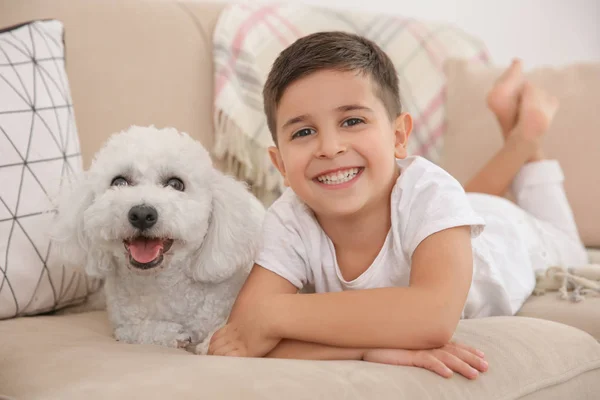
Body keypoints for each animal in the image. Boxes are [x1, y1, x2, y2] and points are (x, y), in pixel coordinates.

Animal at [52, 126, 264, 354]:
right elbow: (135, 331)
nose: (142, 214)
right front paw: (172, 334)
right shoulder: (124, 326)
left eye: (176, 184)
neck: (159, 284)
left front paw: (209, 342)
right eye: (118, 182)